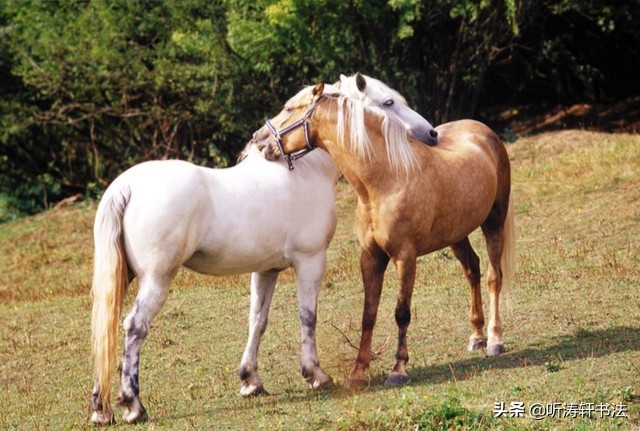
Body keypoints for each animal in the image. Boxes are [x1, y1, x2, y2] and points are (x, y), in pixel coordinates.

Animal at [89, 141, 341, 425]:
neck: (307, 169)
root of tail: (126, 187)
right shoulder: (311, 261)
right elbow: (308, 318)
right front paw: (316, 375)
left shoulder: (266, 270)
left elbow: (257, 321)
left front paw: (251, 381)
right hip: (155, 281)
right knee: (134, 327)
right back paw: (134, 406)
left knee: (105, 333)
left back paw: (102, 410)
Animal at [253, 77, 515, 389]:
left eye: (290, 108)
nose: (260, 141)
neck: (385, 180)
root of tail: (482, 130)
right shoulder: (371, 257)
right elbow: (368, 314)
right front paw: (357, 373)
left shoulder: (405, 257)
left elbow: (401, 312)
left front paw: (398, 369)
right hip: (456, 234)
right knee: (472, 269)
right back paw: (476, 337)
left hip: (493, 222)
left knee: (493, 277)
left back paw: (495, 341)